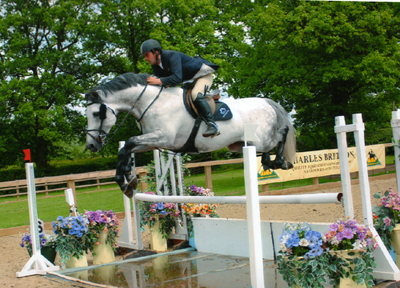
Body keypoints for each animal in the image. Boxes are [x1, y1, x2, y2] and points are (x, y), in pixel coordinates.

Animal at [85, 73, 296, 197]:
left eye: (96, 114)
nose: (91, 146)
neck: (151, 102)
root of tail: (266, 102)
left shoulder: (164, 137)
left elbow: (129, 142)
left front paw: (126, 180)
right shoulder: (153, 141)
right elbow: (126, 148)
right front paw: (127, 179)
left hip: (260, 139)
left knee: (281, 135)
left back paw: (282, 162)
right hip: (243, 143)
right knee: (267, 149)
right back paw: (273, 163)